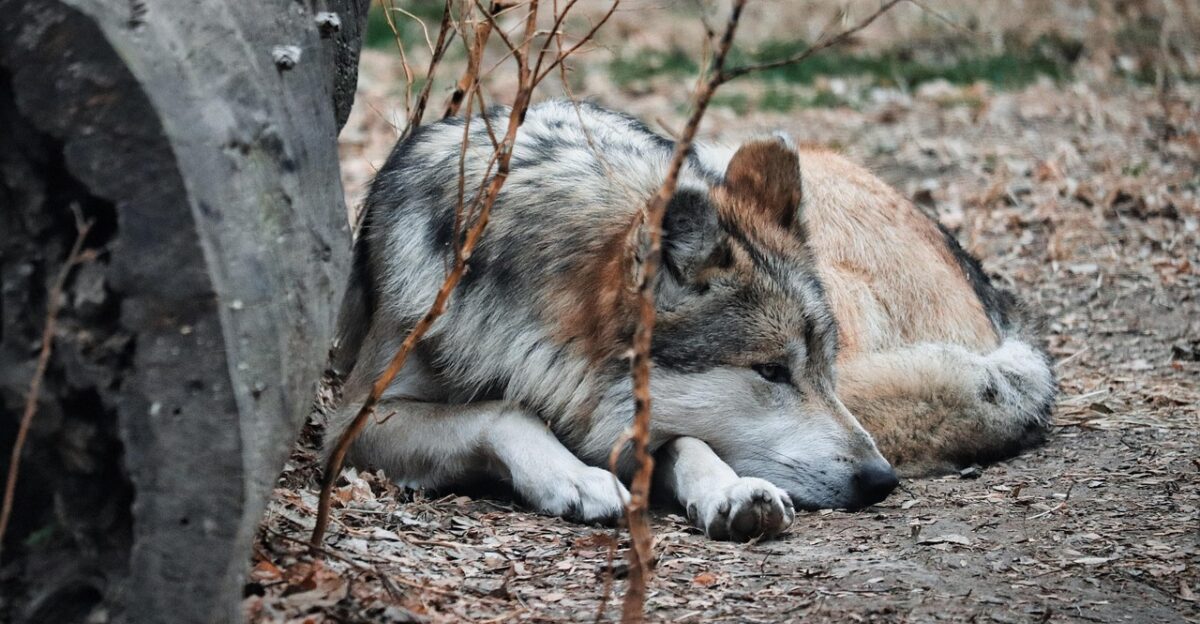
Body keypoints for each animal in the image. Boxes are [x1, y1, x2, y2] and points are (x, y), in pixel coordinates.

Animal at [326, 100, 1057, 541]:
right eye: (771, 372)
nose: (881, 482)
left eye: (817, 368)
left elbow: (688, 441)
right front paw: (575, 477)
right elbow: (502, 411)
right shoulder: (354, 420)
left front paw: (732, 492)